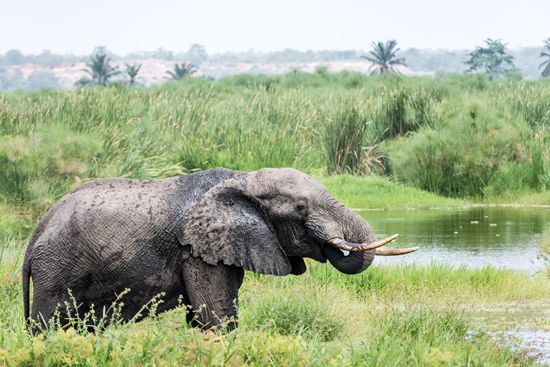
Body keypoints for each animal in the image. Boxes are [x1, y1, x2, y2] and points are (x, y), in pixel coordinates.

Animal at [22, 168, 418, 332]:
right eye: (301, 208)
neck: (242, 179)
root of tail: (36, 232)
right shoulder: (197, 250)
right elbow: (217, 316)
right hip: (57, 268)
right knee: (49, 323)